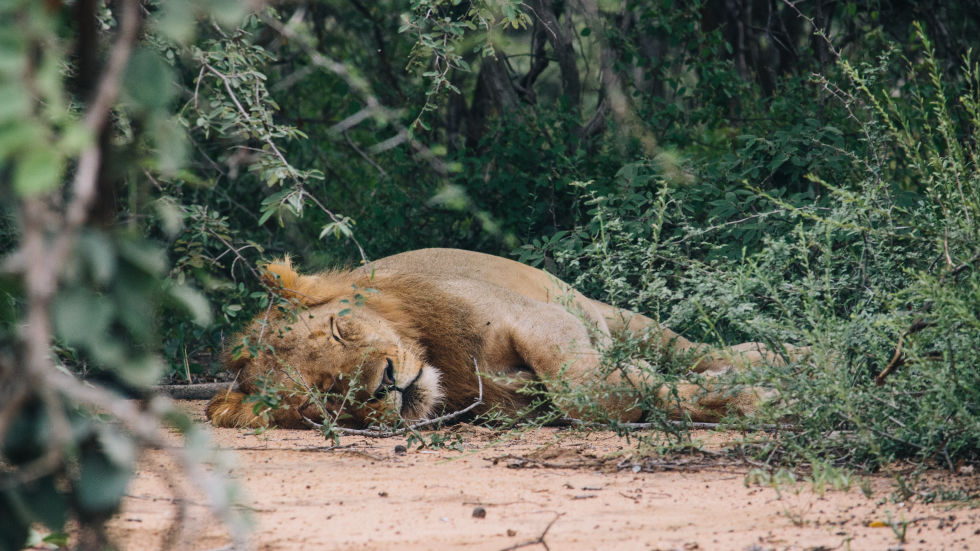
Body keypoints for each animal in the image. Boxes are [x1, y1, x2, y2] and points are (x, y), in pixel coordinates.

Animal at [205, 248, 796, 430]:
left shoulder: (536, 317)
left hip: (611, 314)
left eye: (338, 328)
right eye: (322, 395)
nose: (387, 384)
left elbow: (588, 386)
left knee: (695, 350)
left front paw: (759, 396)